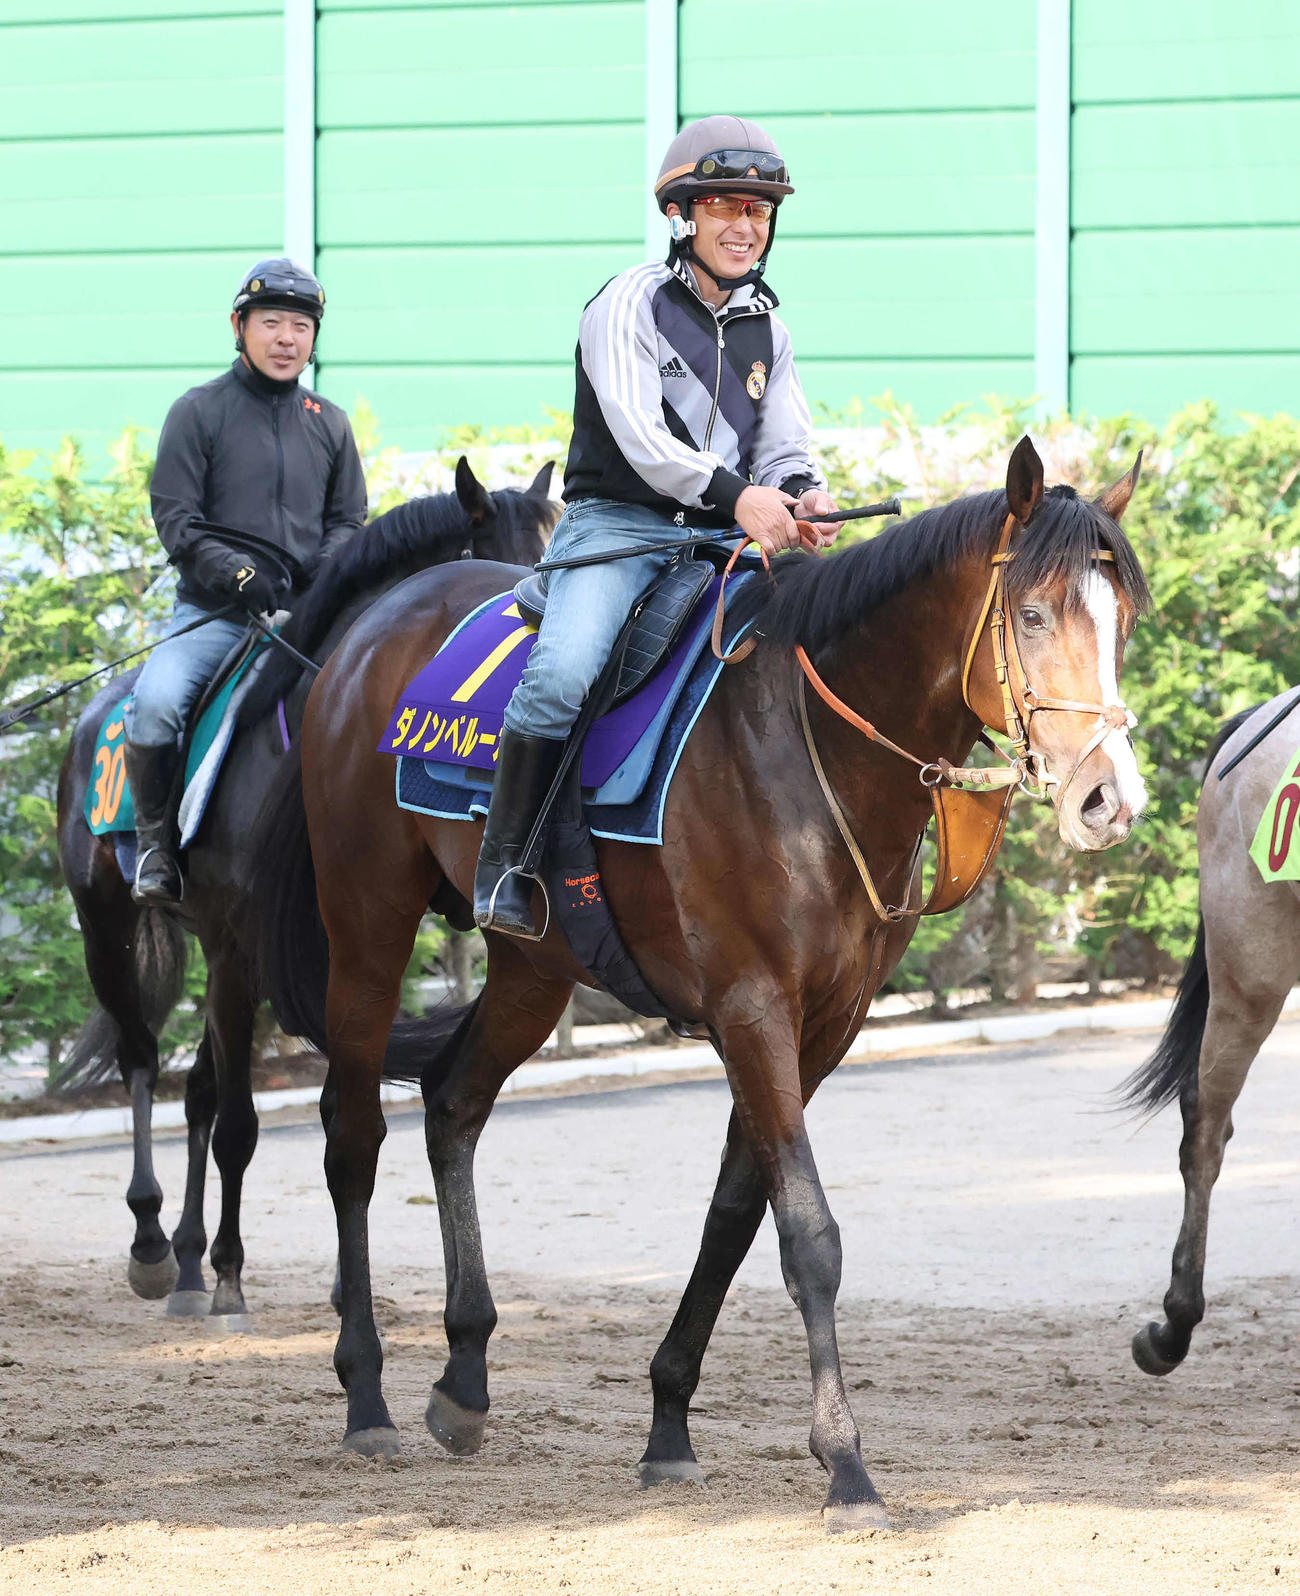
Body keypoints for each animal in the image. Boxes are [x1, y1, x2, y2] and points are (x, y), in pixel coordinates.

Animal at [54, 459, 556, 1327]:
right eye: (499, 573)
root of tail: (93, 714)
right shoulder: (238, 949)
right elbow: (243, 1125)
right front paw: (231, 1279)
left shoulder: (322, 948)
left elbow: (320, 1104)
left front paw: (330, 1287)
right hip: (109, 929)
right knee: (145, 1063)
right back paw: (156, 1245)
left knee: (196, 1090)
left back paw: (188, 1261)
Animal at [254, 436, 1150, 1530]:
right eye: (1032, 616)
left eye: (1122, 622)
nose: (1109, 798)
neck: (807, 747)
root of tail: (371, 625)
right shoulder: (750, 1005)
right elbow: (808, 1232)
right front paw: (846, 1467)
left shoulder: (824, 1024)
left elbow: (734, 1218)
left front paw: (669, 1425)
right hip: (368, 925)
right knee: (353, 1135)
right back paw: (367, 1395)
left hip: (533, 967)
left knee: (453, 1102)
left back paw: (462, 1380)